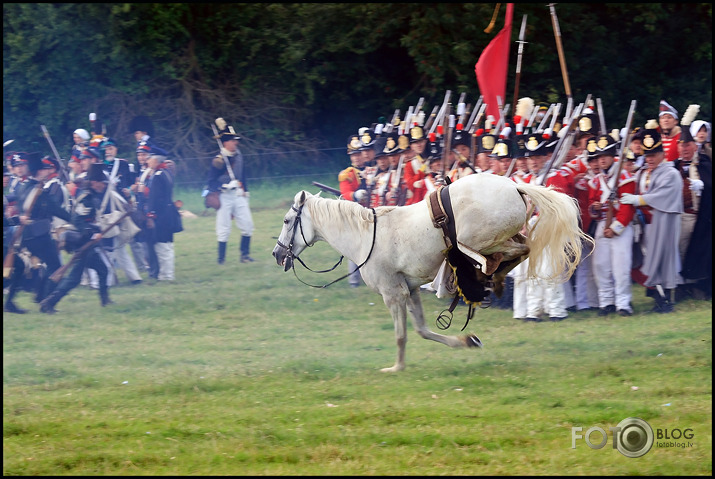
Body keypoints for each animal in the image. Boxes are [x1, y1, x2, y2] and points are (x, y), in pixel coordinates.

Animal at [272, 174, 592, 374]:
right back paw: (492, 281)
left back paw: (483, 278)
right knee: (522, 249)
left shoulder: (393, 294)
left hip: (483, 240)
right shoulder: (410, 289)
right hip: (506, 237)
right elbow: (422, 330)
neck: (366, 237)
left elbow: (401, 335)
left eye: (287, 221)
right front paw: (467, 341)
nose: (277, 254)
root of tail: (515, 188)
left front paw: (396, 367)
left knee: (505, 253)